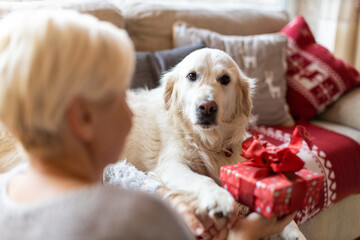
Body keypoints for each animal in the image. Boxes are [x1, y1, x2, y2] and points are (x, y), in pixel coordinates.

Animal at [123, 47, 304, 239]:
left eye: (225, 79)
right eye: (192, 76)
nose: (207, 107)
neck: (208, 141)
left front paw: (294, 231)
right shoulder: (170, 165)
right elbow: (202, 179)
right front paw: (219, 198)